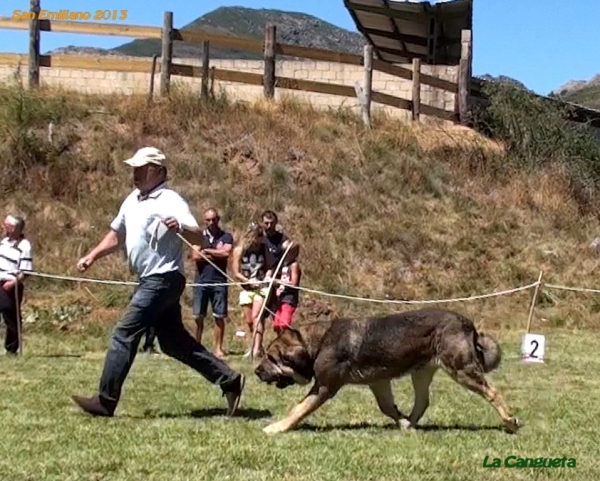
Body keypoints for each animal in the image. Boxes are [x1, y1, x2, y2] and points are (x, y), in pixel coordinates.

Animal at [253, 308, 520, 436]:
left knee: (493, 392)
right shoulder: (378, 383)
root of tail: (469, 323)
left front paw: (276, 428)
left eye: (271, 357)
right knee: (423, 401)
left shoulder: (324, 387)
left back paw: (510, 421)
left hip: (462, 370)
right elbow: (388, 407)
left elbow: (297, 409)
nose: (256, 371)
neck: (315, 343)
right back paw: (409, 424)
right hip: (421, 373)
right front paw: (401, 421)